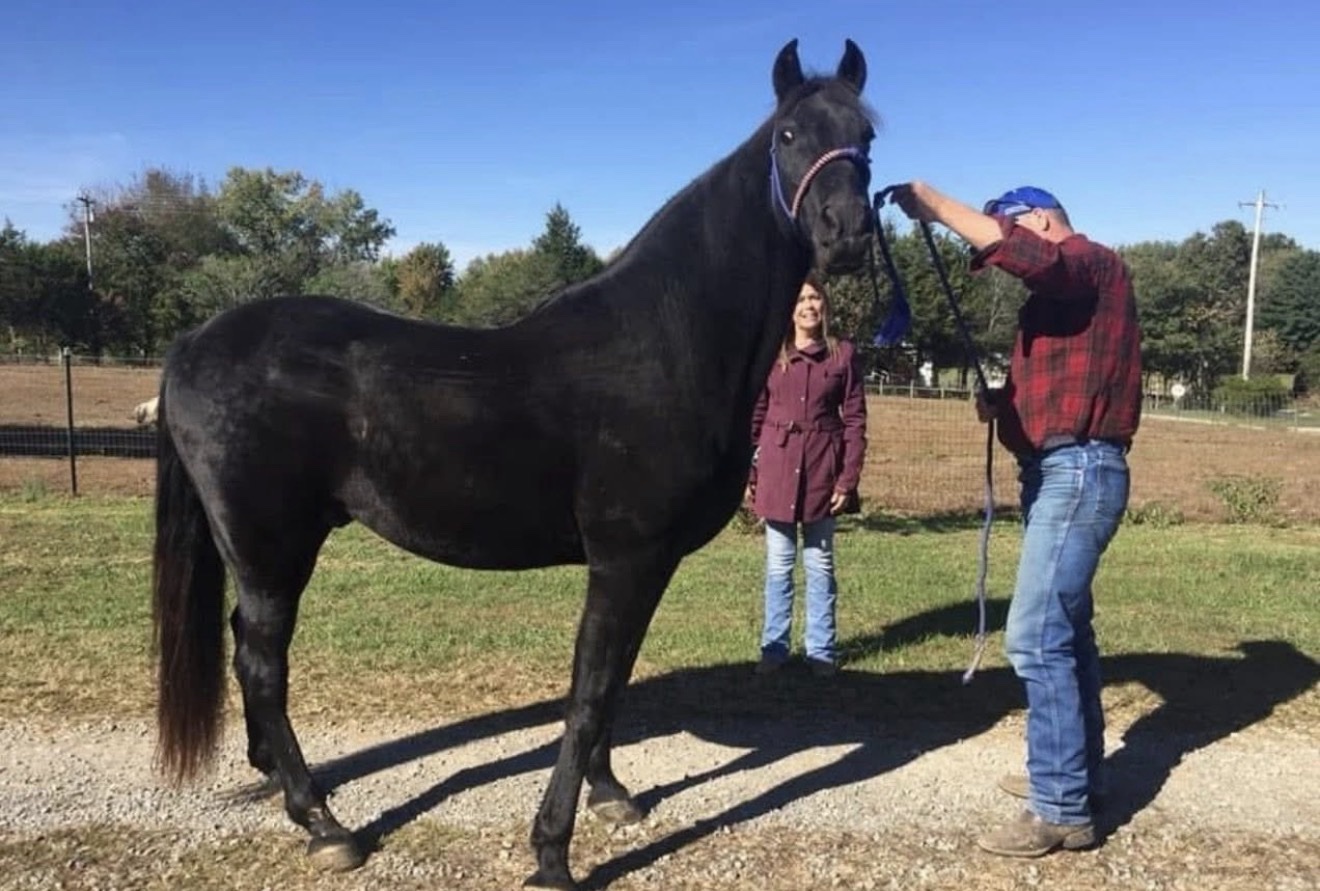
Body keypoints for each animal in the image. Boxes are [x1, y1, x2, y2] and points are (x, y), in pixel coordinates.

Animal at [152, 38, 878, 890]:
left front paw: (610, 792)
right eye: (790, 135)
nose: (847, 232)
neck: (667, 338)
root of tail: (194, 343)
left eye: (866, 137)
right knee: (262, 662)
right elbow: (589, 690)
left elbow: (616, 678)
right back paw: (324, 822)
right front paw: (553, 851)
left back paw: (276, 775)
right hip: (270, 551)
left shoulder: (650, 562)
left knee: (249, 653)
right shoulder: (625, 557)